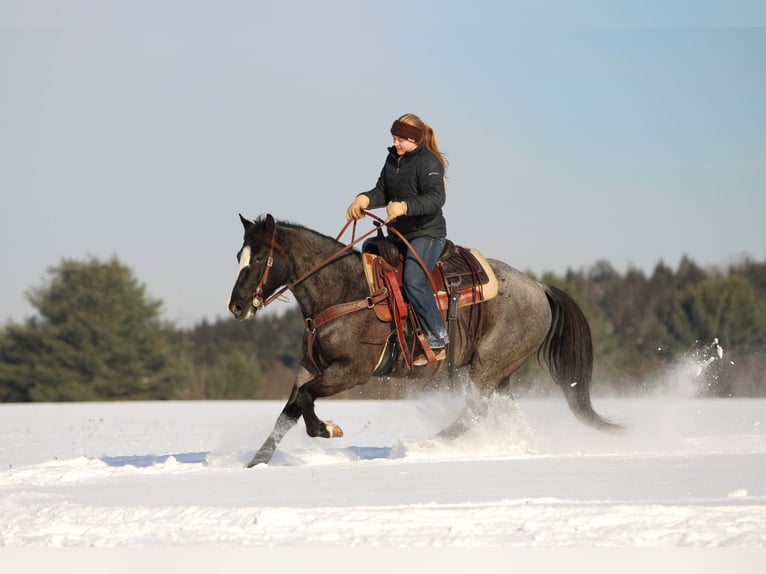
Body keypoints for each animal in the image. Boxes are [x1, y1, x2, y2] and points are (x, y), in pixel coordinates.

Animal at [227, 213, 620, 466]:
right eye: (238, 256)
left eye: (260, 257)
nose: (237, 306)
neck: (344, 291)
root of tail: (539, 287)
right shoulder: (310, 365)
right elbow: (288, 411)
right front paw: (255, 463)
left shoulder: (352, 370)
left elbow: (306, 402)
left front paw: (328, 429)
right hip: (499, 374)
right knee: (500, 415)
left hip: (487, 367)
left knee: (474, 412)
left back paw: (421, 446)